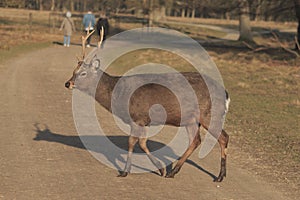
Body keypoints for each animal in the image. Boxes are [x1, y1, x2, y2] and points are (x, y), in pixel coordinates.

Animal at [65, 27, 230, 182]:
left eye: (83, 73)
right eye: (74, 71)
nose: (68, 83)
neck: (118, 94)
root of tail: (226, 94)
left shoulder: (137, 117)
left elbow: (132, 142)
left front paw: (125, 171)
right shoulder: (145, 120)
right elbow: (143, 143)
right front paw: (160, 169)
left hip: (210, 114)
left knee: (223, 137)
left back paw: (219, 176)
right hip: (191, 120)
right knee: (196, 141)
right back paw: (173, 171)